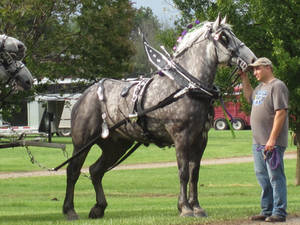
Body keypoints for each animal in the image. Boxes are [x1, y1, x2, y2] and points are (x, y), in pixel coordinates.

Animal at [62, 14, 255, 219]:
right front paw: (185, 208)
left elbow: (194, 173)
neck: (186, 86)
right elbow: (183, 172)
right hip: (82, 143)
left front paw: (196, 207)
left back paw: (99, 207)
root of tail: (83, 96)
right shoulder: (181, 136)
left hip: (116, 145)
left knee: (96, 171)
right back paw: (70, 210)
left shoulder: (201, 138)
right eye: (224, 38)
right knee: (73, 171)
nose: (252, 59)